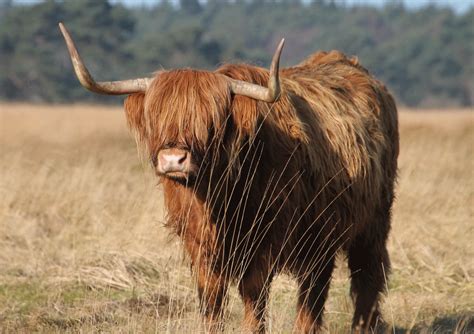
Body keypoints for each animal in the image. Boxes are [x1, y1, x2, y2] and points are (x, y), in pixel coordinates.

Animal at [60, 22, 400, 332]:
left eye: (211, 120)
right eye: (157, 117)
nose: (173, 160)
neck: (219, 197)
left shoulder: (262, 244)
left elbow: (254, 300)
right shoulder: (200, 246)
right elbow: (212, 302)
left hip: (371, 223)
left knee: (362, 279)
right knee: (315, 292)